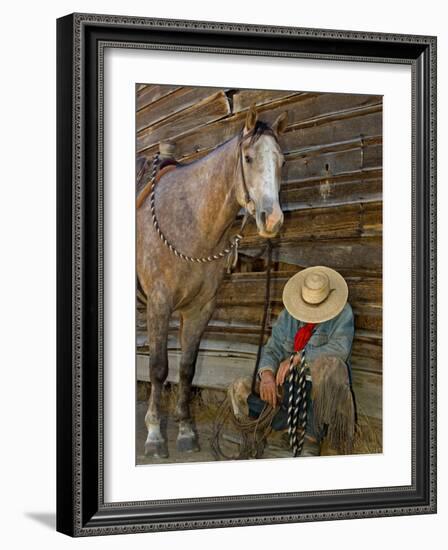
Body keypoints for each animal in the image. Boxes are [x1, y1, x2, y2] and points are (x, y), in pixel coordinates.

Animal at [135, 105, 288, 460]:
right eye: (248, 158)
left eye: (282, 161)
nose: (272, 220)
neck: (189, 221)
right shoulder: (159, 305)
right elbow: (159, 368)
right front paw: (155, 435)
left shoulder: (200, 309)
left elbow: (187, 369)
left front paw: (186, 431)